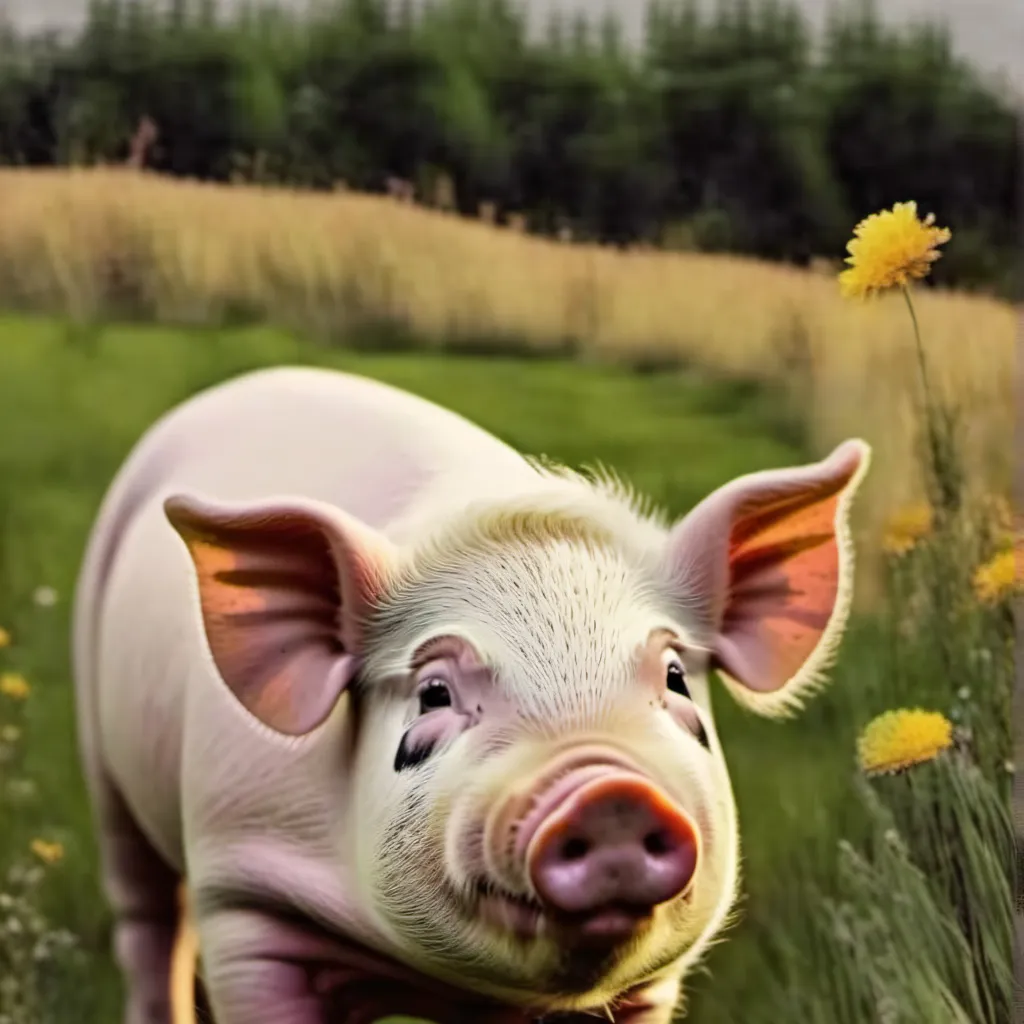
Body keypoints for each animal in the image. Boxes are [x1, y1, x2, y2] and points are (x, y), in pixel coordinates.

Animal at [72, 365, 871, 1024]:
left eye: (674, 677)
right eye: (433, 693)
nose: (609, 791)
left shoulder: (651, 986)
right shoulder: (246, 896)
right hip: (102, 751)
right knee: (148, 926)